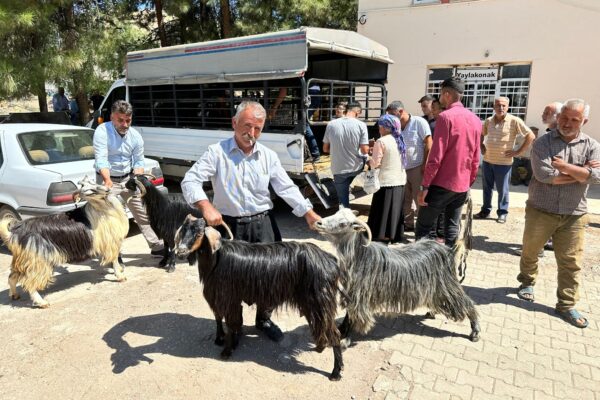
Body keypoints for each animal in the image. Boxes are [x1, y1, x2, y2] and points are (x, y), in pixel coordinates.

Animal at [173, 216, 342, 382]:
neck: (215, 259)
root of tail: (331, 261)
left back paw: (335, 372)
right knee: (322, 327)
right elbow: (219, 319)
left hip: (320, 301)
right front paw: (221, 340)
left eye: (199, 234)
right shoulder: (219, 297)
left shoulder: (228, 298)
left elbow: (230, 324)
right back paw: (320, 347)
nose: (180, 252)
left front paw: (227, 351)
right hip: (312, 304)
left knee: (334, 333)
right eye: (183, 230)